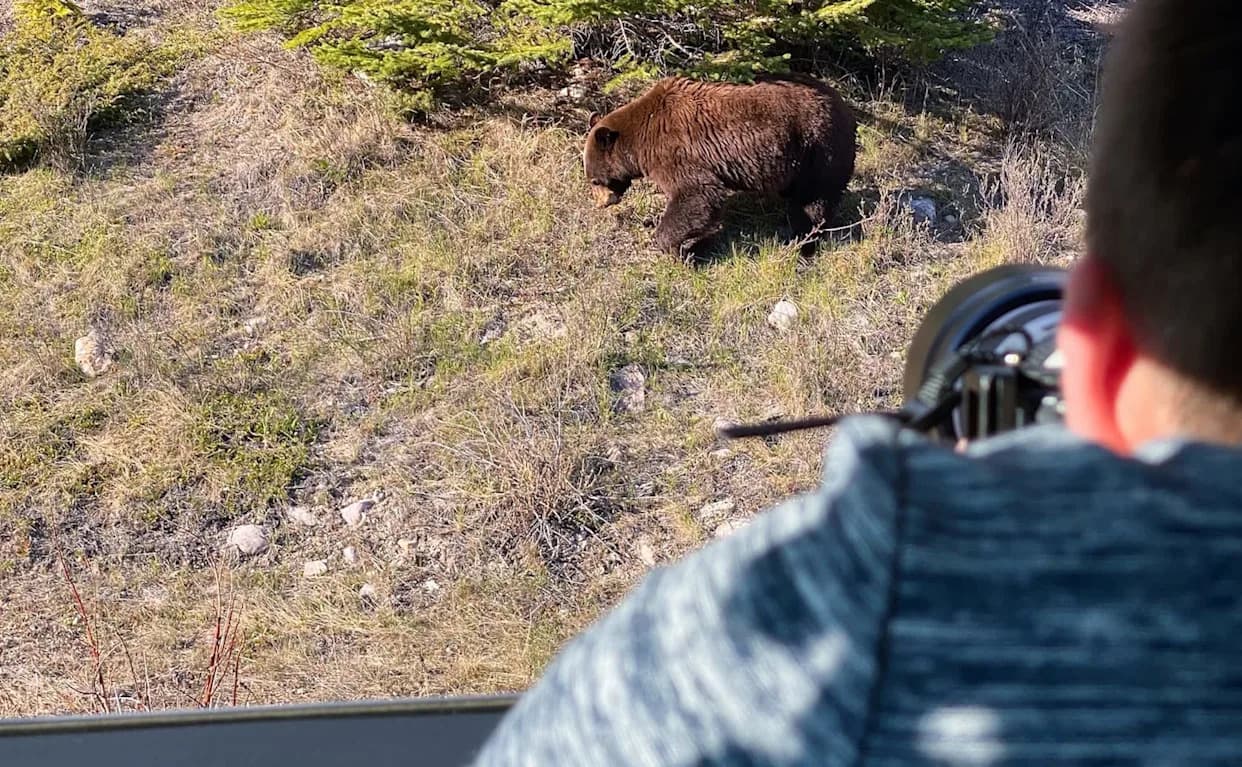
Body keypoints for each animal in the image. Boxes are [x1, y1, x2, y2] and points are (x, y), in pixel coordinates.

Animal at [583, 74, 857, 259]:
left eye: (594, 179)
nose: (601, 202)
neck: (641, 140)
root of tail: (844, 104)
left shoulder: (676, 153)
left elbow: (697, 196)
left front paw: (670, 246)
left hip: (818, 147)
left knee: (814, 200)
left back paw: (804, 241)